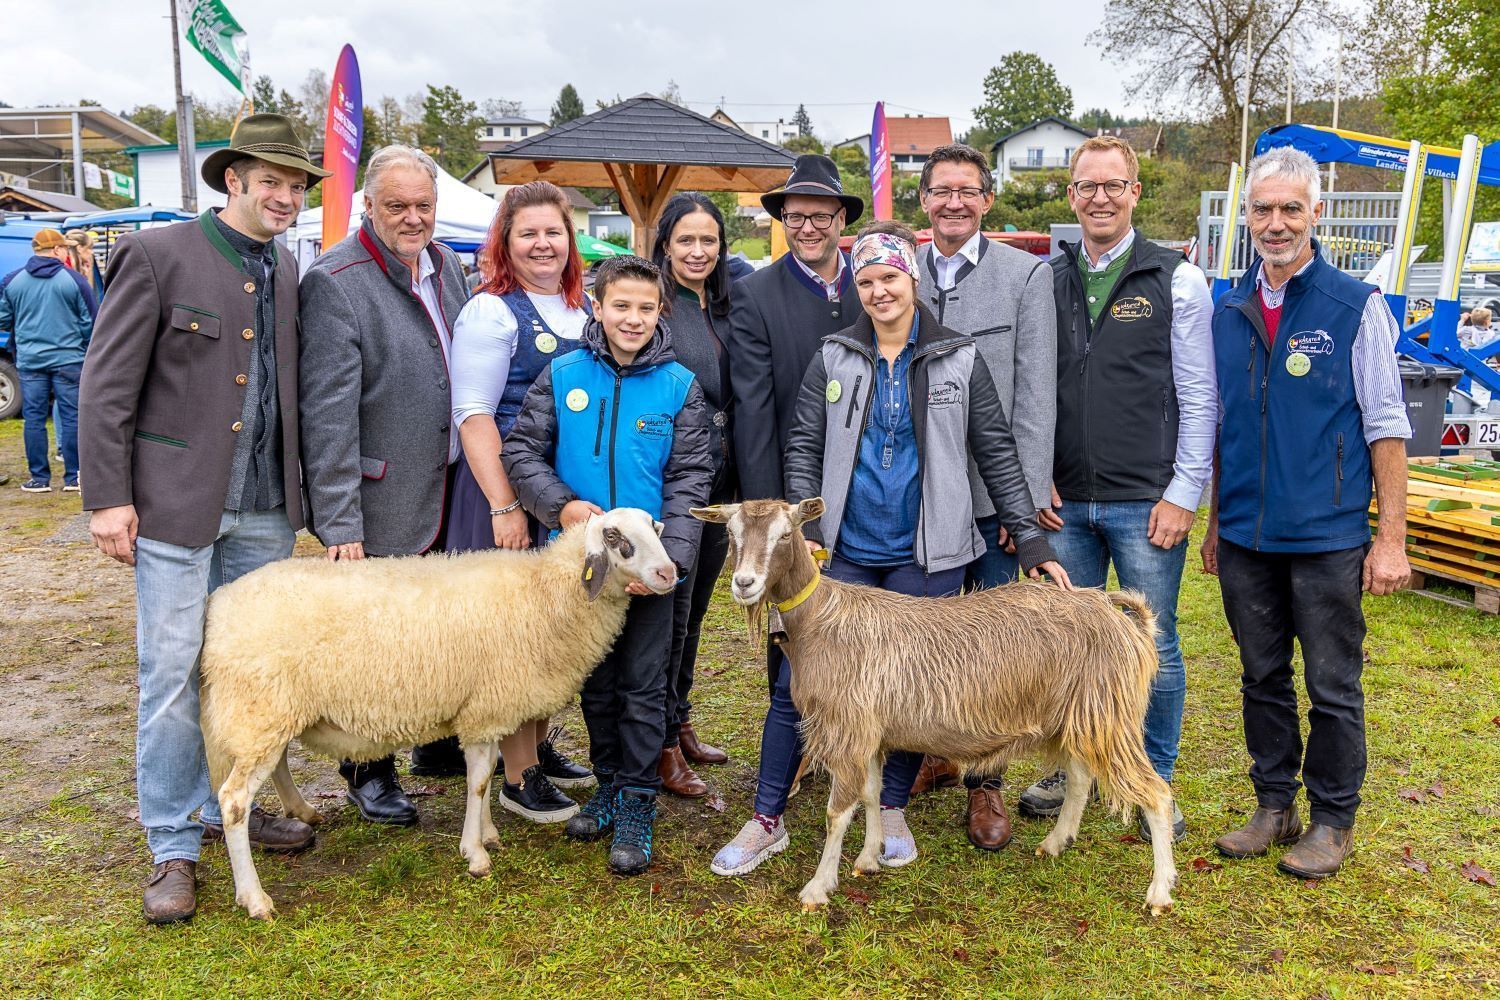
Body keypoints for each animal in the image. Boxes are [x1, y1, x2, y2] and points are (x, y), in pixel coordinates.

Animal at [198, 512, 675, 917]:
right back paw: (254, 898)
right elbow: (479, 782)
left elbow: (484, 777)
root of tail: (218, 606)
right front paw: (475, 854)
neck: (542, 593)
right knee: (234, 802)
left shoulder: (486, 710)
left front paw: (487, 835)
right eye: (614, 537)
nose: (670, 574)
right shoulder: (483, 710)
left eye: (656, 528)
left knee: (276, 764)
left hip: (269, 713)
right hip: (258, 706)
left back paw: (302, 813)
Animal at [696, 500, 1176, 917]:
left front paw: (818, 888)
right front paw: (868, 858)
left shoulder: (848, 730)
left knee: (1156, 794)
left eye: (785, 533)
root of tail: (1119, 615)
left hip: (1109, 716)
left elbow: (838, 812)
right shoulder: (872, 732)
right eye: (732, 533)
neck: (820, 620)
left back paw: (1159, 892)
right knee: (1078, 781)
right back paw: (1055, 844)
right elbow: (870, 795)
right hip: (1077, 720)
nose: (744, 583)